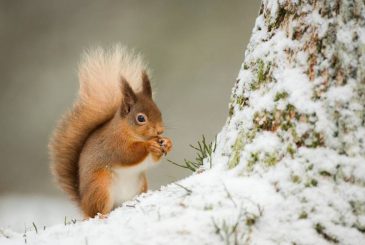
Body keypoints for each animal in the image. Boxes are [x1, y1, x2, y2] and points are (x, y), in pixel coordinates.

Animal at [48, 45, 172, 217]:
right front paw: (149, 145)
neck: (130, 131)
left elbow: (152, 160)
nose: (160, 131)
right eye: (141, 118)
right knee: (97, 211)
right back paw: (102, 216)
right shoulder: (113, 143)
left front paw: (167, 143)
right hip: (100, 187)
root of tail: (84, 205)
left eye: (159, 112)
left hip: (140, 185)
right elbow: (126, 154)